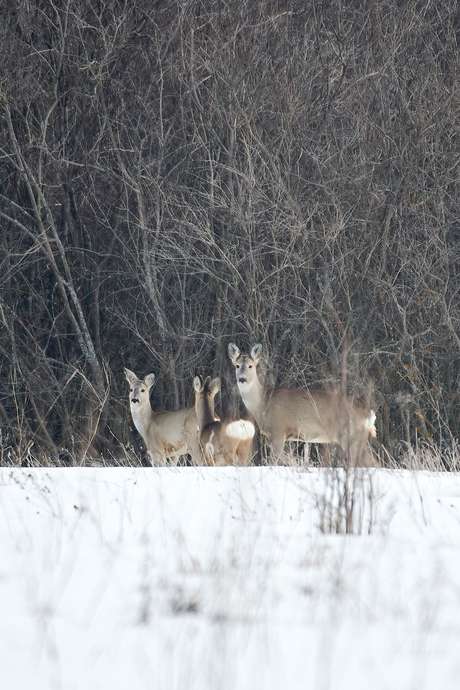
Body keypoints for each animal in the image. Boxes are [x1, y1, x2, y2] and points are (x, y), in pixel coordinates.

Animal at [227, 343, 377, 466]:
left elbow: (275, 461)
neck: (264, 403)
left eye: (250, 366)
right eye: (237, 365)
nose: (242, 379)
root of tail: (368, 414)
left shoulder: (278, 430)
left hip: (352, 436)